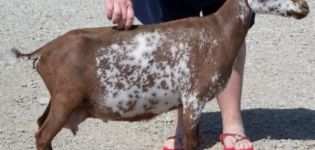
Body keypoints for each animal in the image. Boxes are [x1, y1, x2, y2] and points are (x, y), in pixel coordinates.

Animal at [6, 0, 310, 149]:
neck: (217, 33)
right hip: (65, 98)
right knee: (42, 135)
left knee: (40, 125)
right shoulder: (193, 97)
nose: (305, 6)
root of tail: (42, 52)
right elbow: (191, 142)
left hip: (59, 98)